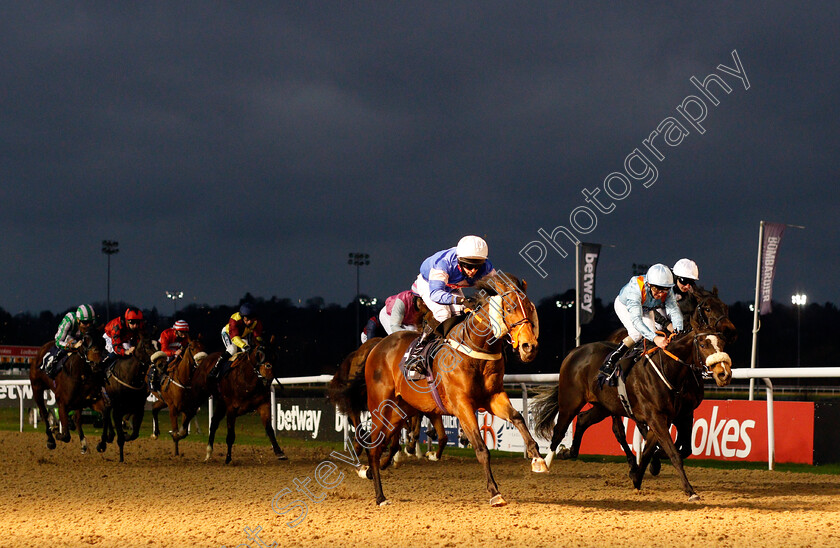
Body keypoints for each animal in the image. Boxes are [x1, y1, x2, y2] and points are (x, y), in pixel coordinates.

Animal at [99, 334, 156, 462]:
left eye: (158, 345)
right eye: (147, 346)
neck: (129, 376)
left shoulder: (139, 408)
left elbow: (134, 434)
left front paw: (126, 435)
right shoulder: (118, 408)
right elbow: (120, 437)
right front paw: (121, 458)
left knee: (106, 413)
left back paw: (109, 437)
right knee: (105, 415)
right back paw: (103, 442)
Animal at [340, 272, 544, 508]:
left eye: (529, 307)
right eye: (510, 308)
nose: (530, 347)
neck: (476, 348)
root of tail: (377, 346)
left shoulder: (492, 397)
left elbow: (518, 418)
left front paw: (538, 458)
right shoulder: (462, 405)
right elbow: (481, 448)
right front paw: (494, 492)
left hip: (400, 410)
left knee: (383, 443)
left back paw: (373, 470)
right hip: (380, 406)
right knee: (373, 446)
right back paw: (380, 496)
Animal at [536, 322, 732, 500]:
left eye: (722, 343)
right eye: (703, 344)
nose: (724, 374)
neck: (667, 369)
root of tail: (573, 352)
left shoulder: (673, 417)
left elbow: (650, 451)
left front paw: (638, 477)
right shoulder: (656, 418)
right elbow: (673, 453)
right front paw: (690, 491)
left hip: (604, 406)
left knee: (583, 420)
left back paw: (568, 452)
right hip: (570, 402)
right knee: (560, 430)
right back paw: (544, 463)